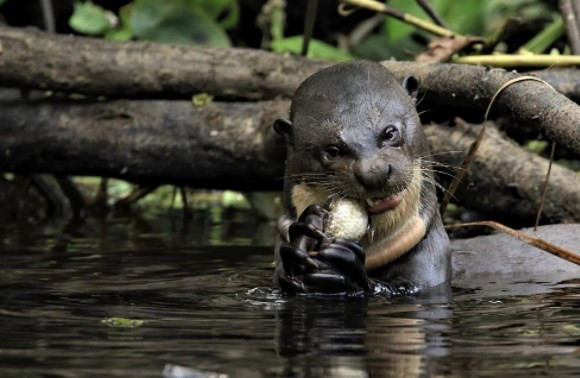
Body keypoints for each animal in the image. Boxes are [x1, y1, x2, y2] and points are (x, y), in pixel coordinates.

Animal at [270, 60, 448, 294]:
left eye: (390, 132)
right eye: (333, 150)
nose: (375, 173)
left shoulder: (430, 267)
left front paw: (345, 263)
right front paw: (302, 236)